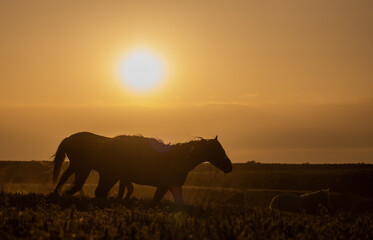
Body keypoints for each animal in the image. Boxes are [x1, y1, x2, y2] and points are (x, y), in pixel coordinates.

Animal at [50, 131, 231, 202]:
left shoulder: (173, 186)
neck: (178, 157)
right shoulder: (165, 185)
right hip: (104, 174)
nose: (229, 167)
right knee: (97, 192)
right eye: (219, 150)